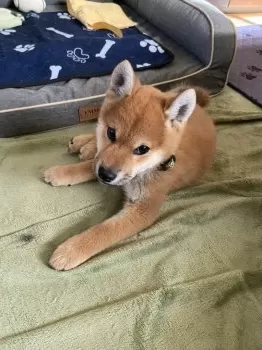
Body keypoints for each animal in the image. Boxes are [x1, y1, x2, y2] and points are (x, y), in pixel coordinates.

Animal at [44, 59, 216, 270]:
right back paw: (84, 145)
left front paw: (71, 250)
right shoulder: (104, 161)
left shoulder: (143, 210)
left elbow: (104, 231)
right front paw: (61, 172)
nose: (106, 175)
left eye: (142, 149)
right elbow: (90, 165)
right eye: (111, 133)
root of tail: (200, 109)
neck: (149, 168)